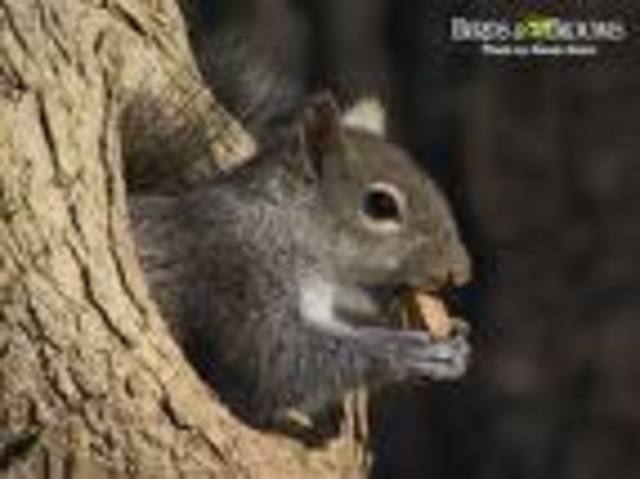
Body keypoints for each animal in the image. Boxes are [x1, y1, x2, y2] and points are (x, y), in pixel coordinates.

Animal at [129, 92, 472, 437]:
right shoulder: (235, 268)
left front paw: (458, 336)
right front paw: (410, 350)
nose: (460, 272)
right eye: (381, 205)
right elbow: (277, 365)